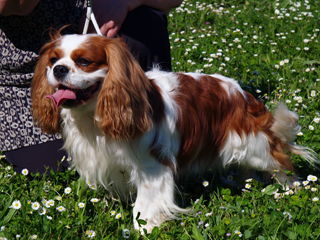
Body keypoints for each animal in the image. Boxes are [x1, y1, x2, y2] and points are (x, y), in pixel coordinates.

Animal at [31, 32, 316, 232]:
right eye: (53, 60)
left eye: (83, 62)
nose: (58, 69)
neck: (94, 118)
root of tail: (244, 95)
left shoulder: (152, 167)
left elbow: (144, 207)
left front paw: (145, 228)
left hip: (255, 147)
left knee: (281, 162)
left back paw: (291, 189)